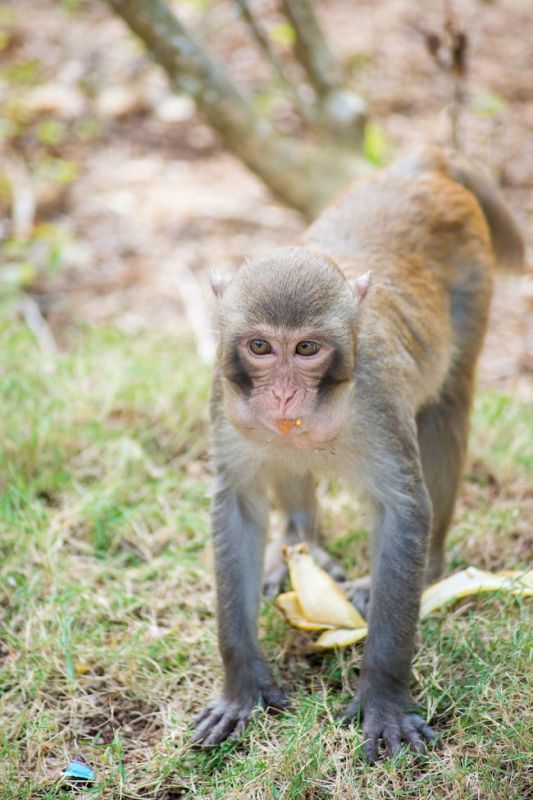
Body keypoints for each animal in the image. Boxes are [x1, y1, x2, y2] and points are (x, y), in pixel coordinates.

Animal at [190, 145, 520, 764]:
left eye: (308, 349)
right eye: (261, 347)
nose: (284, 396)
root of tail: (422, 164)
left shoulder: (380, 393)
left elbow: (403, 511)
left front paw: (384, 697)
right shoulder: (225, 399)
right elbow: (239, 507)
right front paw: (242, 686)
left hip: (474, 282)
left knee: (447, 407)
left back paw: (427, 566)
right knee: (286, 465)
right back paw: (300, 545)